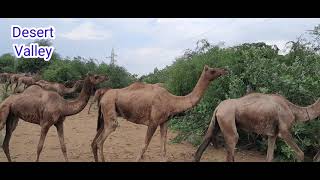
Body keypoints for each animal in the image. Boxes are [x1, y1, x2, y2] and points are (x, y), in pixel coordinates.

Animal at [91, 64, 229, 162]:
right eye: (212, 70)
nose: (224, 70)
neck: (172, 101)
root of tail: (103, 95)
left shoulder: (164, 122)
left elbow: (163, 146)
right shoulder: (153, 122)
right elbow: (144, 146)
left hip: (104, 116)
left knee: (95, 141)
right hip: (109, 110)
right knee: (100, 141)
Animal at [192, 93, 320, 162]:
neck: (293, 110)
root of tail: (218, 108)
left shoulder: (272, 134)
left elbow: (269, 157)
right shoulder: (284, 131)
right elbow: (300, 153)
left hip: (216, 123)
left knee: (203, 145)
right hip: (227, 120)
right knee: (231, 147)